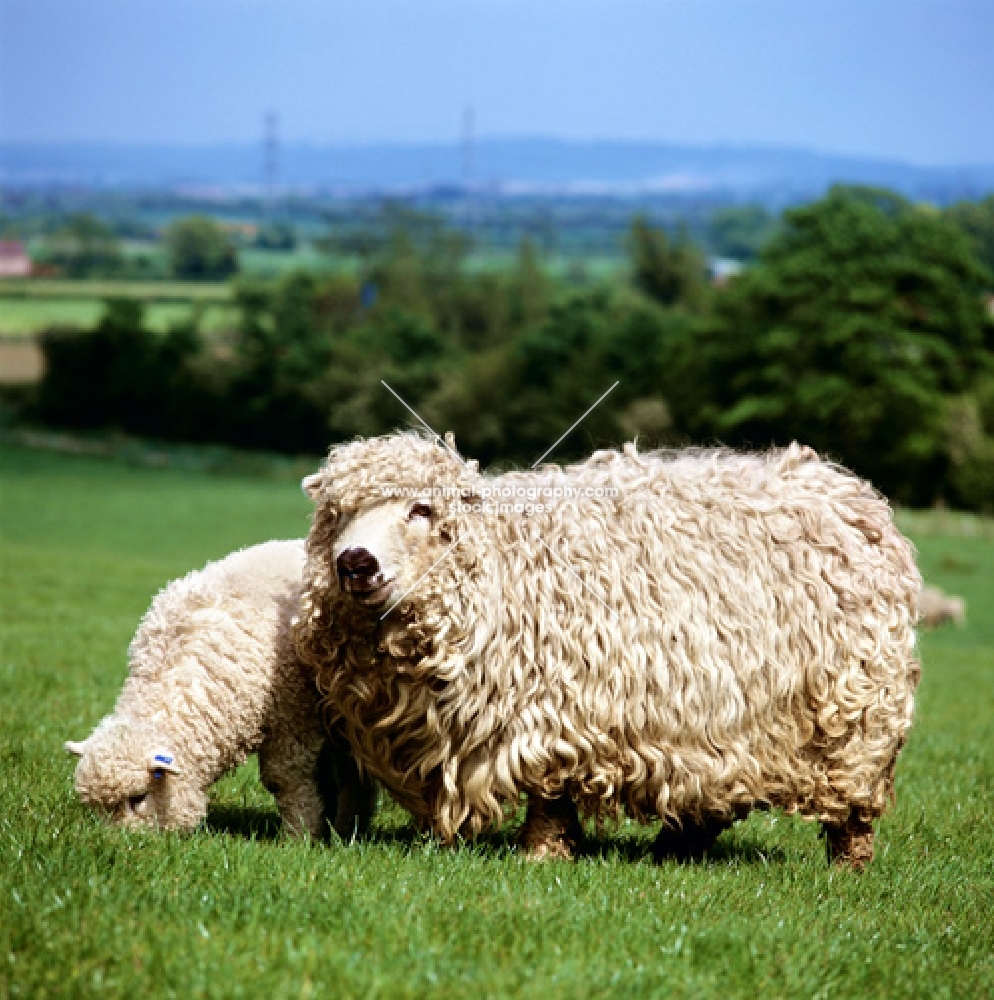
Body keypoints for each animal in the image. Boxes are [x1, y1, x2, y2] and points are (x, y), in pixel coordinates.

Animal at [65, 544, 376, 840]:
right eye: (96, 808)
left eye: (139, 797)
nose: (118, 844)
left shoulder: (294, 717)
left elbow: (285, 781)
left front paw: (299, 837)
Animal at [296, 436, 924, 868]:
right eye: (338, 515)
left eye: (421, 510)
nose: (355, 562)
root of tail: (848, 491)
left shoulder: (552, 713)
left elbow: (547, 794)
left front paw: (540, 854)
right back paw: (677, 848)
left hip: (856, 713)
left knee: (854, 808)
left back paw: (847, 868)